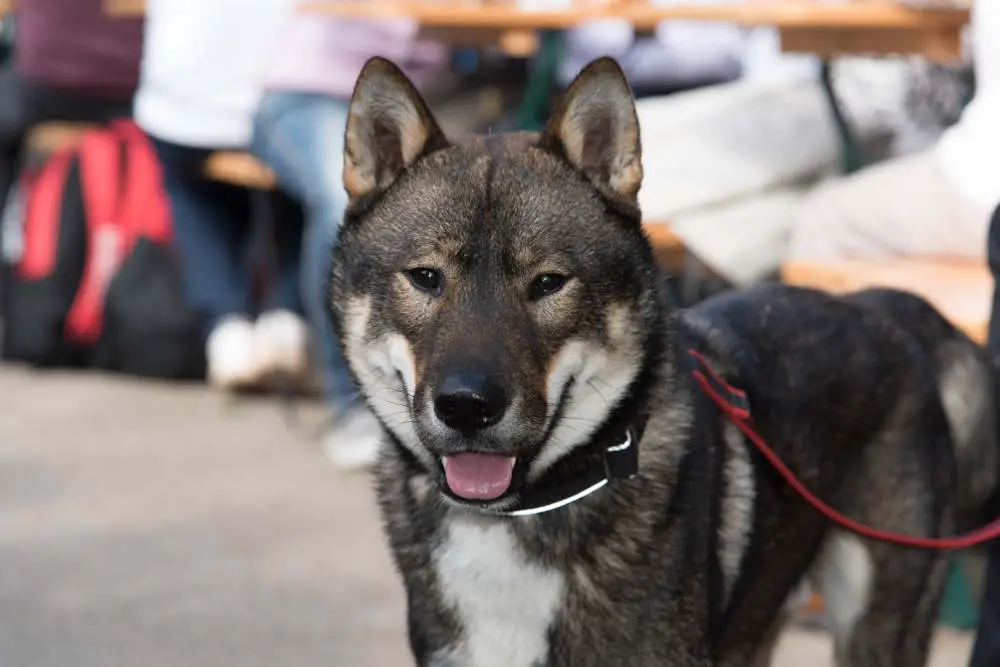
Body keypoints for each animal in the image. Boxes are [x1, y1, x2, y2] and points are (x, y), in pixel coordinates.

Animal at [326, 56, 992, 667]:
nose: (467, 406)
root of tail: (886, 305)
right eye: (425, 277)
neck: (524, 514)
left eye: (548, 283)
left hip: (875, 618)